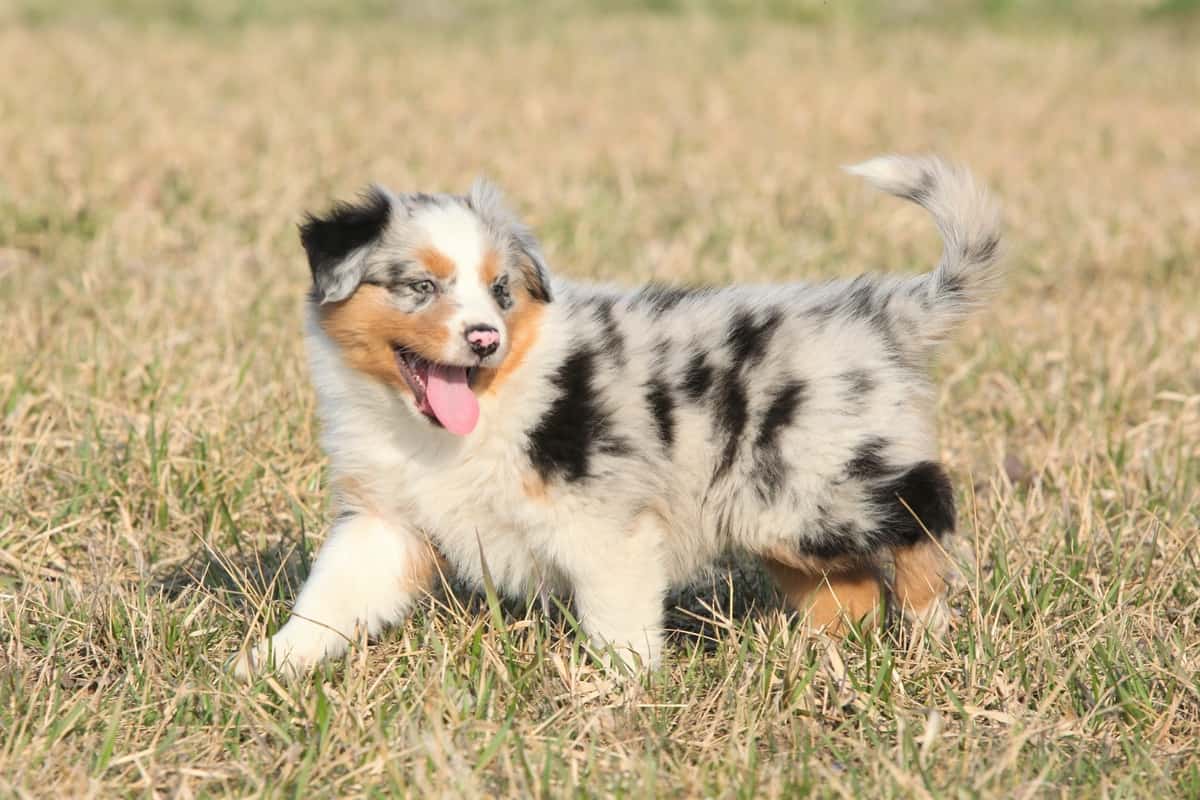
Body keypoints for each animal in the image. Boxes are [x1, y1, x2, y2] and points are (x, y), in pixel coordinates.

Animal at [229, 153, 998, 681]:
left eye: (500, 291)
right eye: (420, 286)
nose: (484, 339)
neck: (443, 429)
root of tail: (883, 314)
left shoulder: (606, 527)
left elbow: (617, 624)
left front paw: (621, 694)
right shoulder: (387, 521)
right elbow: (331, 598)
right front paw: (267, 665)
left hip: (824, 485)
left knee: (922, 513)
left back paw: (929, 629)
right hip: (776, 513)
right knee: (850, 590)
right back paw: (816, 660)